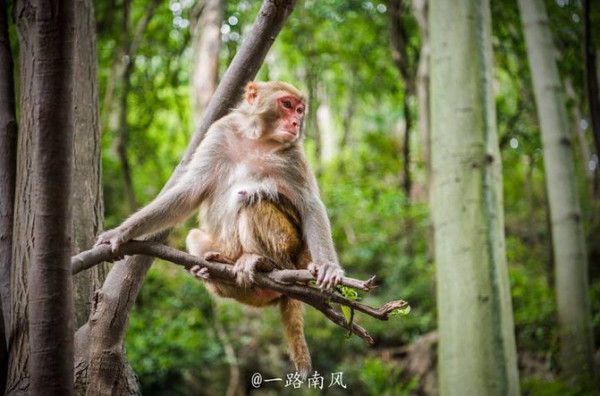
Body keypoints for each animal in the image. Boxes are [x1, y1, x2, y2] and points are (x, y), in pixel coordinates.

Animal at [96, 80, 344, 378]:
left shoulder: (293, 156)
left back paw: (264, 263)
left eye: (299, 109)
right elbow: (188, 192)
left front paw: (328, 267)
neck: (257, 139)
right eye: (287, 105)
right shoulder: (219, 133)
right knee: (197, 235)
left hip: (294, 251)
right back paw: (215, 270)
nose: (296, 122)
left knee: (253, 202)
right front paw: (122, 232)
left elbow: (309, 205)